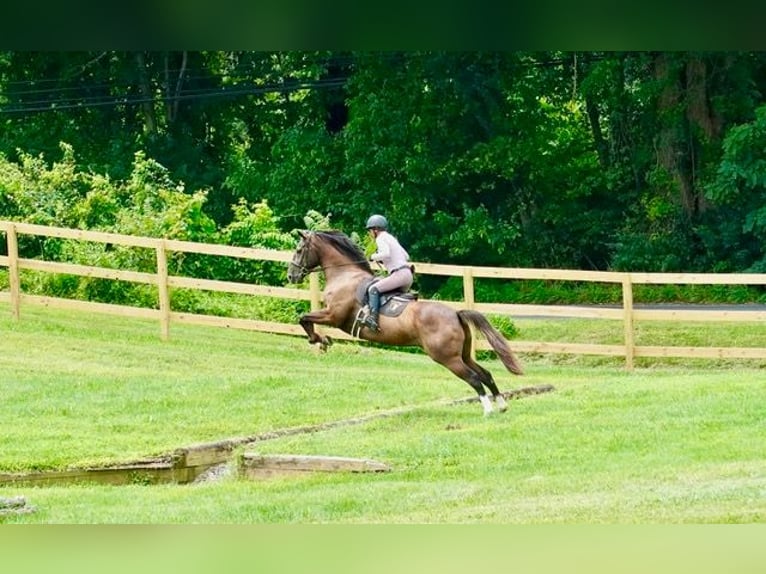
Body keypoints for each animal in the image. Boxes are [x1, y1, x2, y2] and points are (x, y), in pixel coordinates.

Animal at [286, 230, 524, 415]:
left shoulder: (333, 316)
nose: (291, 276)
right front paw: (321, 340)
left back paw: (488, 410)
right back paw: (501, 405)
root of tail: (456, 313)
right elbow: (304, 319)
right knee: (485, 374)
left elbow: (304, 318)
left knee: (474, 378)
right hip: (462, 355)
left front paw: (321, 339)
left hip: (447, 358)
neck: (344, 275)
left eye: (299, 250)